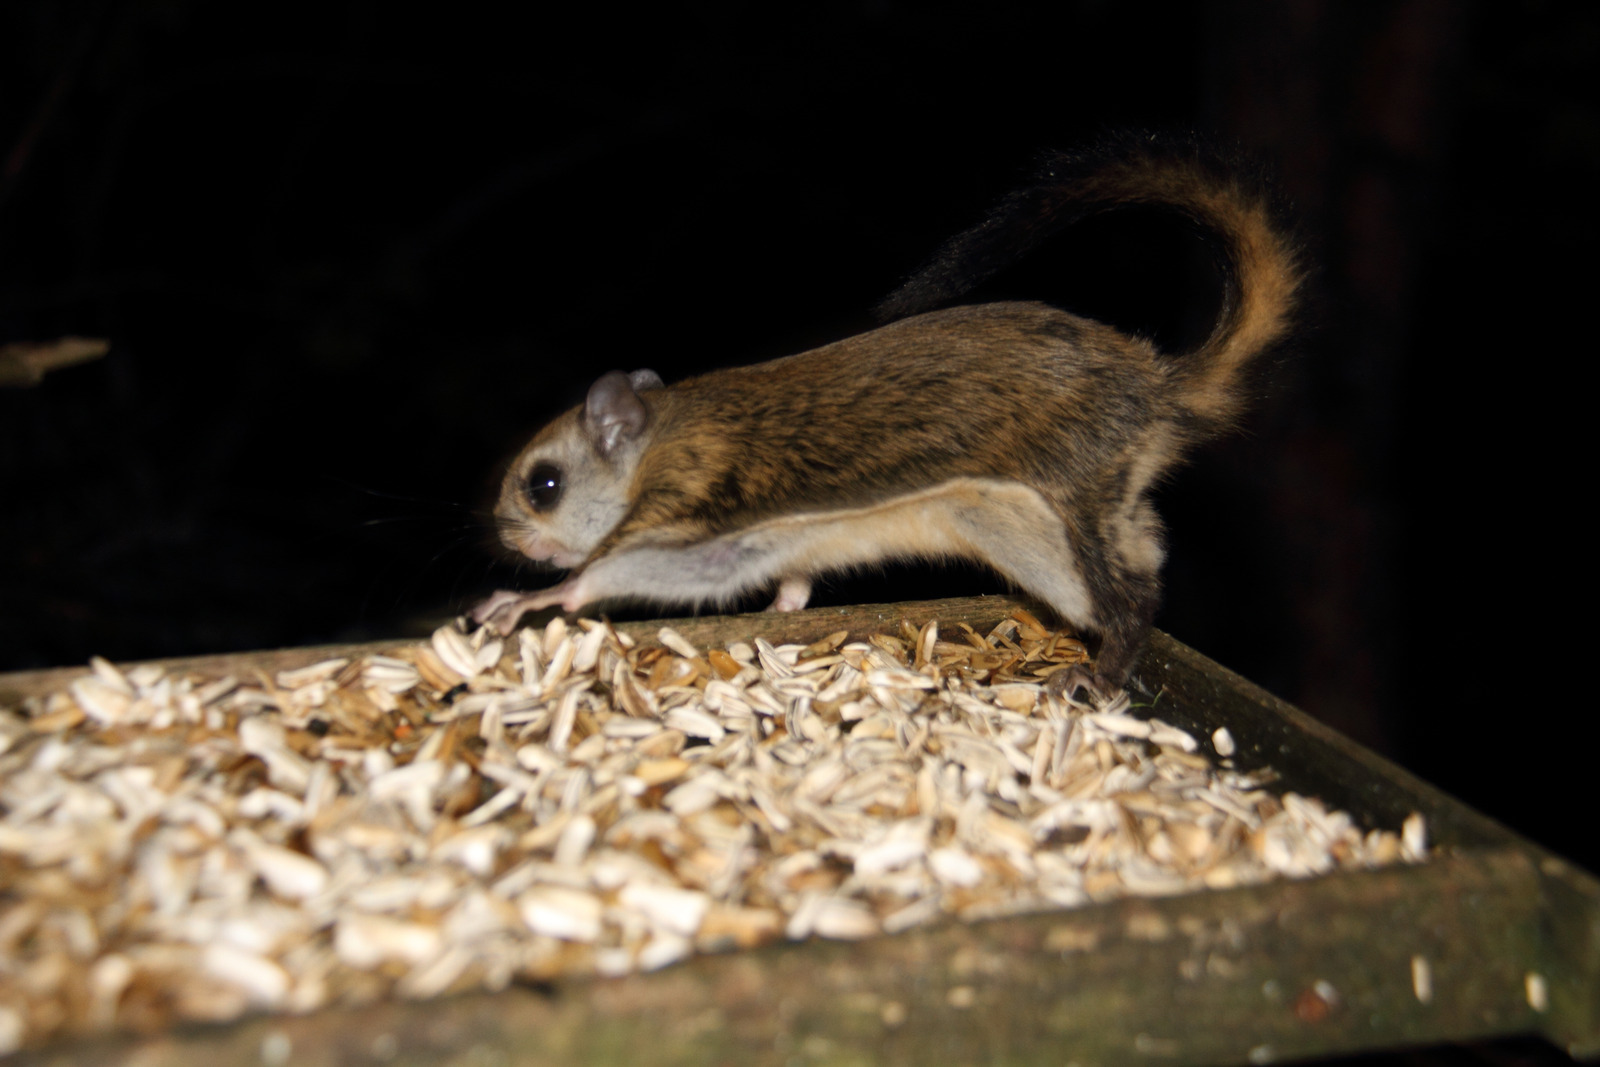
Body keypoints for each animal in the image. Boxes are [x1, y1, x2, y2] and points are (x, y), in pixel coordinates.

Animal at [473, 133, 1303, 700]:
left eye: (543, 486)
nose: (507, 536)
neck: (659, 434)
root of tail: (1156, 383)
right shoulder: (773, 541)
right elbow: (790, 581)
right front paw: (782, 611)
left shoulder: (690, 504)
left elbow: (622, 570)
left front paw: (534, 599)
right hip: (1032, 531)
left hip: (1076, 501)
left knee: (1137, 600)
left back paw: (1101, 675)